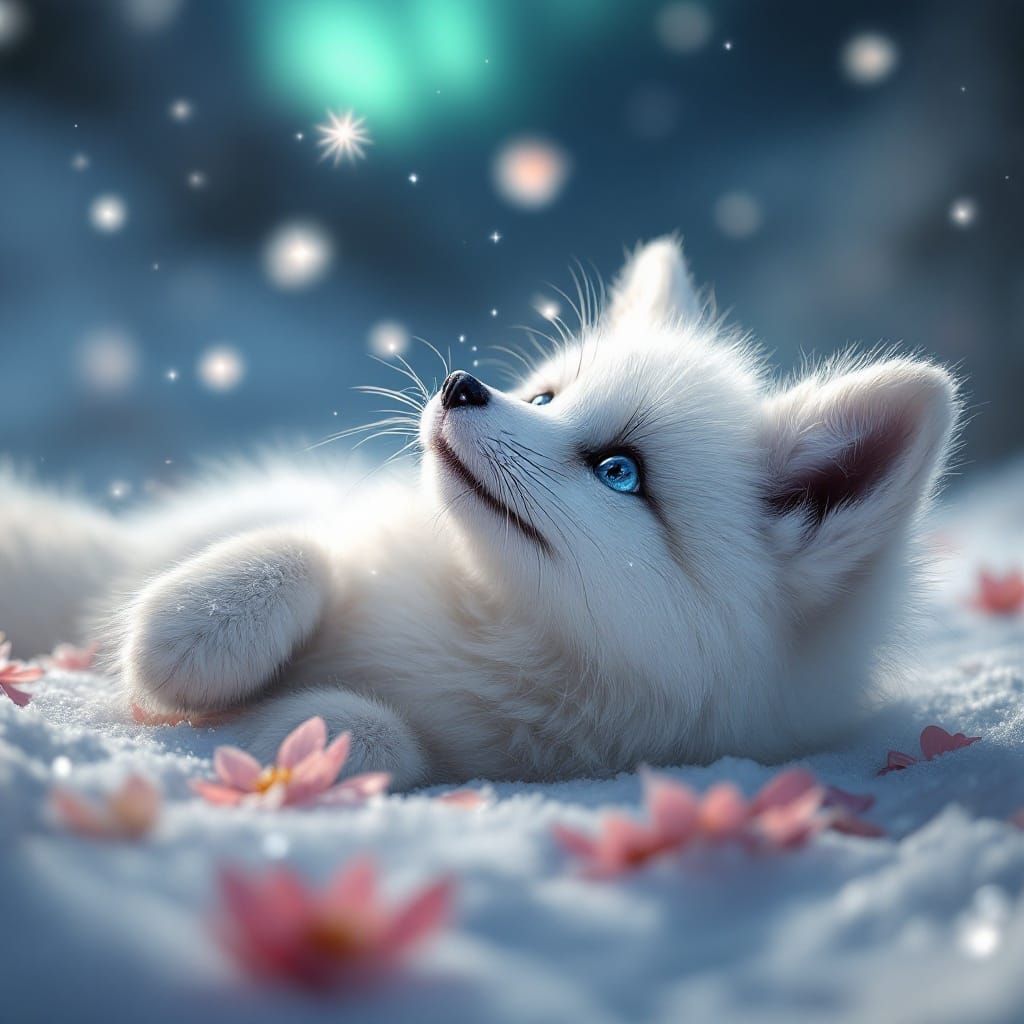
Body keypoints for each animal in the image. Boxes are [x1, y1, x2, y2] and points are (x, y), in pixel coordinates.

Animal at [0, 238, 959, 789]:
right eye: (547, 395)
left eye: (621, 472)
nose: (462, 386)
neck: (480, 621)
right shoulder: (341, 537)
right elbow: (306, 555)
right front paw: (185, 637)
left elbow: (381, 738)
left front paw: (280, 731)